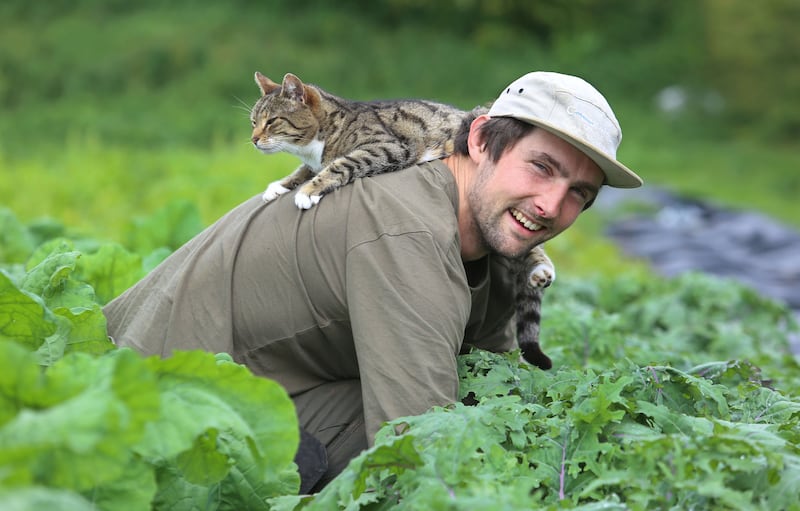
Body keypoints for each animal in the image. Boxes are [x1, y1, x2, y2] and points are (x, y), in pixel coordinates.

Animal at [252, 70, 556, 370]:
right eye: (254, 121)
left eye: (272, 121)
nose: (253, 139)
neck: (323, 137)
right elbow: (303, 170)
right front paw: (280, 186)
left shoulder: (384, 148)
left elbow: (341, 164)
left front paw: (309, 191)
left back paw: (541, 269)